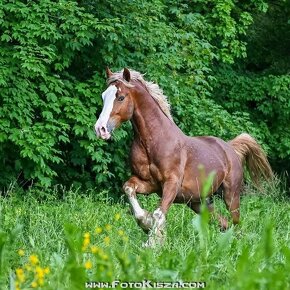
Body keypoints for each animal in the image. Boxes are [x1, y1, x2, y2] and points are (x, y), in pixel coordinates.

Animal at [94, 68, 274, 247]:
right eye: (103, 96)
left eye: (121, 97)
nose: (100, 129)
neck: (153, 142)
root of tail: (230, 148)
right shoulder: (149, 184)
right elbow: (129, 189)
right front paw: (146, 224)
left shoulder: (171, 184)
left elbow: (158, 213)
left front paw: (152, 242)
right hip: (198, 203)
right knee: (223, 223)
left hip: (231, 196)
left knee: (236, 223)